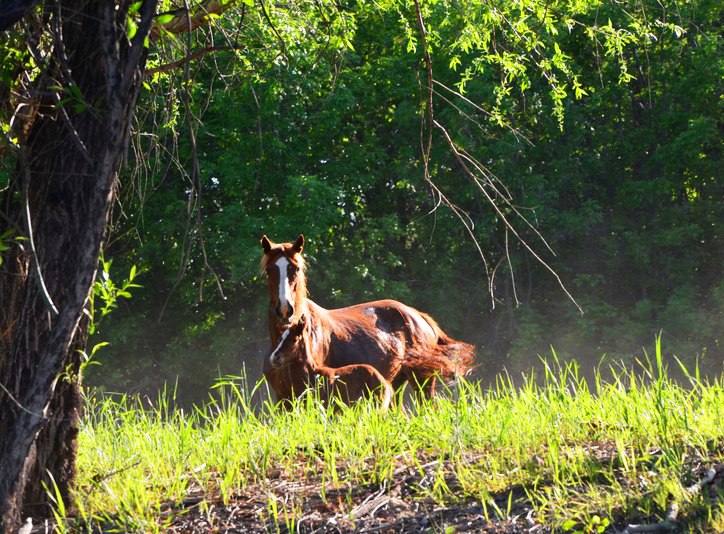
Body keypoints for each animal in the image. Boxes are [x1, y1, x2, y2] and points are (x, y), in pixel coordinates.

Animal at [260, 237, 476, 404]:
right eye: (270, 270)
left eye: (295, 269)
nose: (285, 309)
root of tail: (420, 317)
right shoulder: (282, 398)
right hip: (396, 383)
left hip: (423, 383)